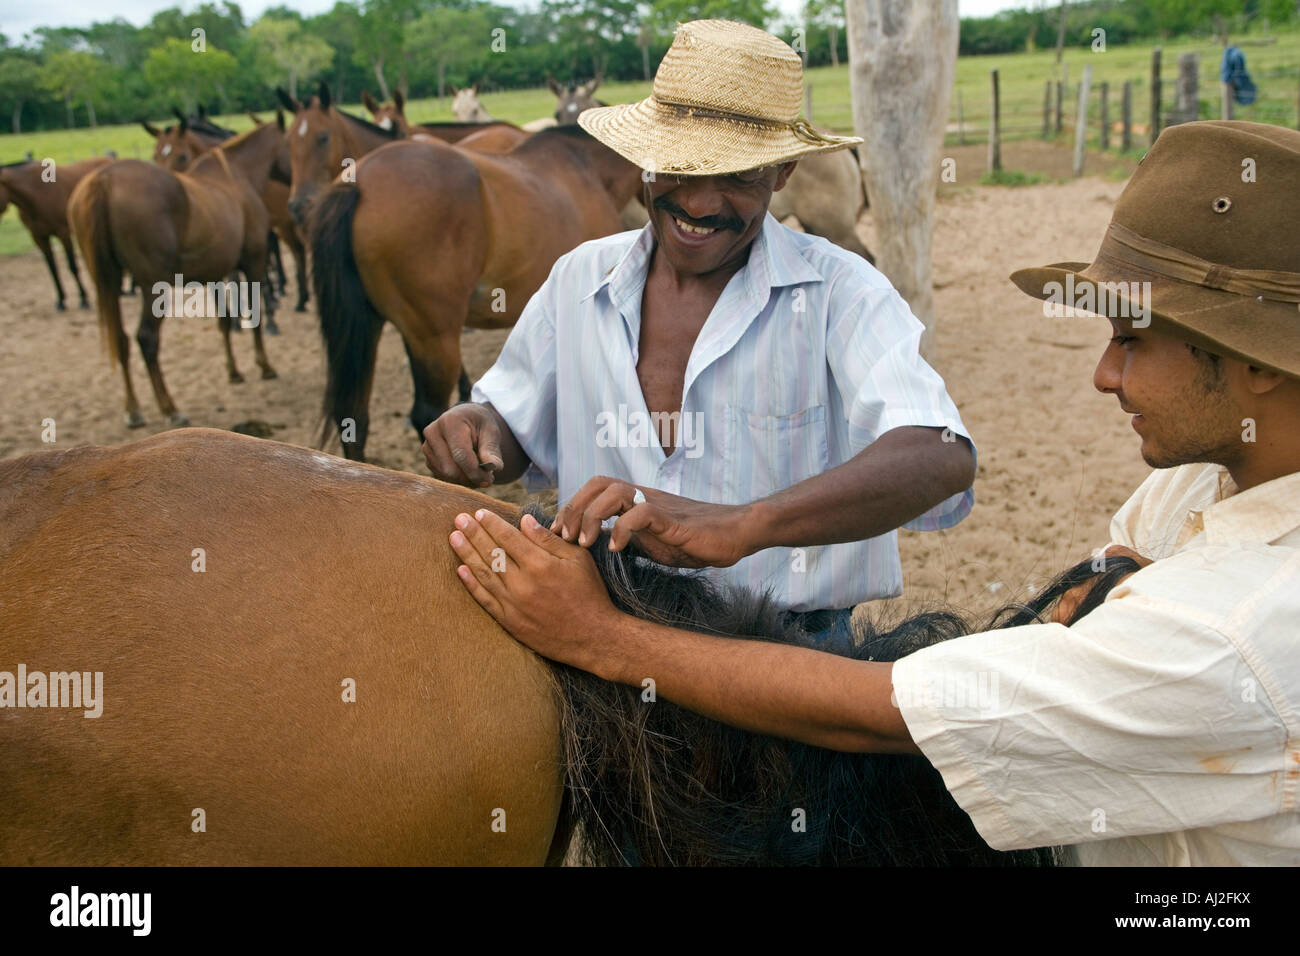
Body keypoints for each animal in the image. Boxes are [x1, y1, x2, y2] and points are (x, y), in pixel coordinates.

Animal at [0, 155, 111, 308]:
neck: (36, 194)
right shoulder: (38, 237)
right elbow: (52, 269)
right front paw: (60, 300)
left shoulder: (63, 233)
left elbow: (72, 266)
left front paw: (83, 299)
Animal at [67, 117, 289, 429]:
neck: (234, 176)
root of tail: (104, 181)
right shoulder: (254, 263)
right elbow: (253, 316)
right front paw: (265, 366)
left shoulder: (215, 274)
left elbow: (224, 321)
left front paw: (233, 372)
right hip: (153, 285)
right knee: (146, 338)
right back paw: (170, 409)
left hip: (108, 283)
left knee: (121, 339)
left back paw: (133, 410)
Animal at [310, 125, 644, 463]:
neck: (587, 169)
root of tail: (360, 183)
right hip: (434, 338)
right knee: (426, 414)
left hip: (378, 328)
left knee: (354, 416)